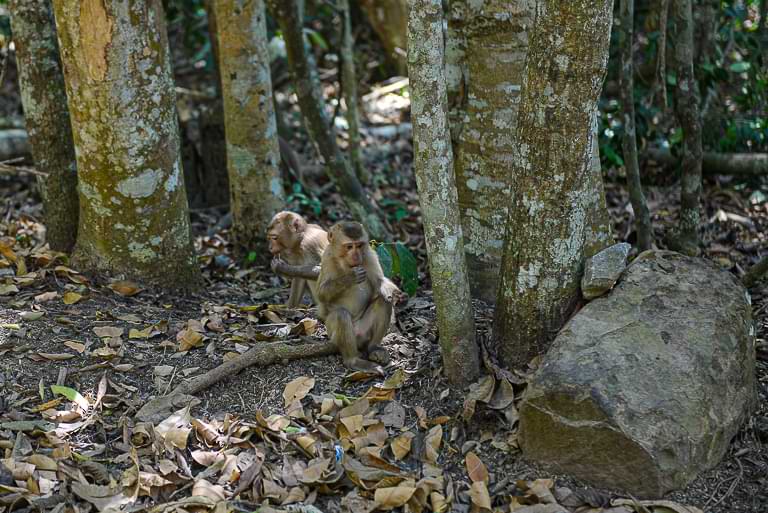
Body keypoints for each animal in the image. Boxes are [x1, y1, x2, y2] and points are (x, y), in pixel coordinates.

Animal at [316, 221, 402, 374]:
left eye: (359, 245)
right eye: (349, 246)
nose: (356, 256)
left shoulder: (369, 254)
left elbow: (379, 282)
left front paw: (391, 292)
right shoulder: (327, 257)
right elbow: (321, 293)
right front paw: (350, 277)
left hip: (365, 333)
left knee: (383, 302)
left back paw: (374, 348)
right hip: (334, 336)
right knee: (341, 315)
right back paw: (354, 361)